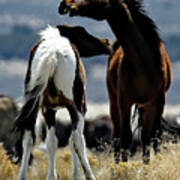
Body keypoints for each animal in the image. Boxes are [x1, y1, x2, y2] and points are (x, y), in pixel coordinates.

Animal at [10, 25, 110, 180]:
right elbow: (73, 140)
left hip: (34, 106)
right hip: (76, 106)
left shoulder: (48, 109)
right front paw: (76, 175)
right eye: (82, 32)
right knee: (77, 139)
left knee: (29, 138)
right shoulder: (79, 108)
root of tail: (53, 52)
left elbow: (51, 142)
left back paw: (24, 176)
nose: (106, 43)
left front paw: (52, 175)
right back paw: (88, 175)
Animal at [58, 0, 172, 163]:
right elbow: (125, 138)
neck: (143, 63)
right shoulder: (124, 100)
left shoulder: (157, 100)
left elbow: (151, 137)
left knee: (147, 136)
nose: (64, 5)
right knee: (118, 136)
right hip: (114, 101)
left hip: (146, 105)